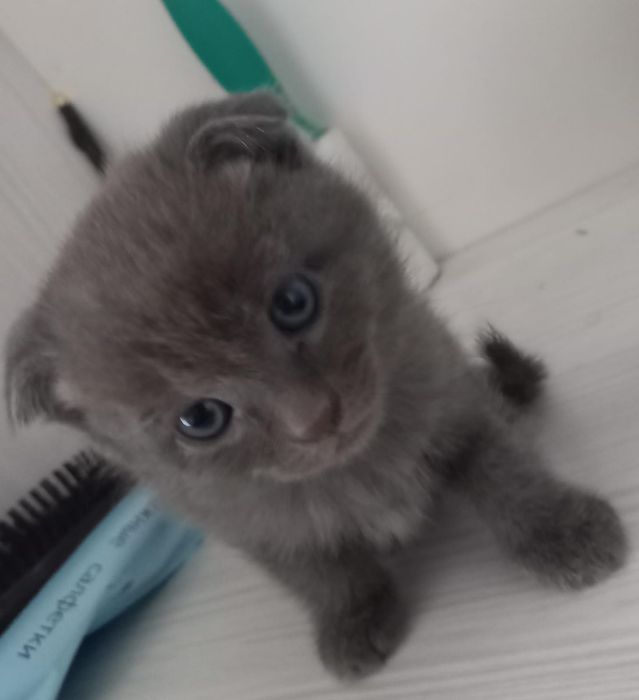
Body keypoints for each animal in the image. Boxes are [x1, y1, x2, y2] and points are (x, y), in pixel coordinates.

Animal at [5, 92, 626, 679]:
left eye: (293, 302)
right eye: (200, 419)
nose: (315, 417)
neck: (359, 466)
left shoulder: (451, 388)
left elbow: (505, 470)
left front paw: (563, 533)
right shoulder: (244, 520)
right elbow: (315, 569)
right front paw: (354, 616)